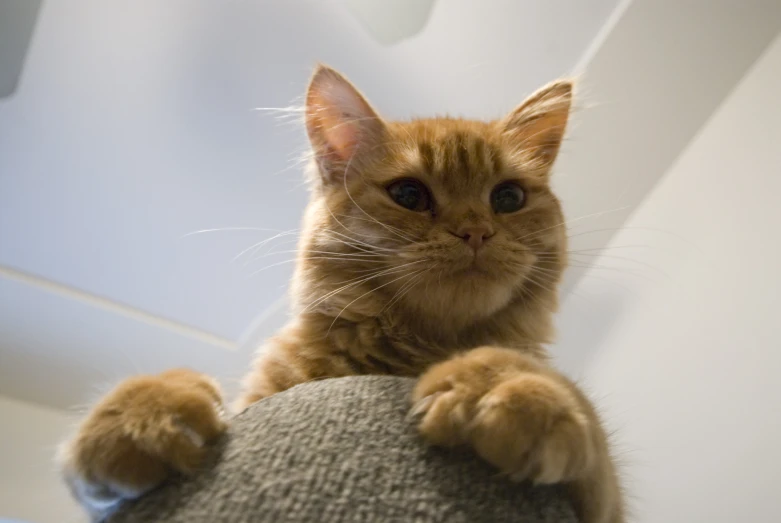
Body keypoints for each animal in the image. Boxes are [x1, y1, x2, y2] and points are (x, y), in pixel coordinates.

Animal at [59, 65, 620, 523]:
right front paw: (140, 412)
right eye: (409, 195)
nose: (476, 232)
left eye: (508, 198)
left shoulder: (607, 506)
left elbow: (581, 416)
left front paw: (501, 383)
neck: (412, 348)